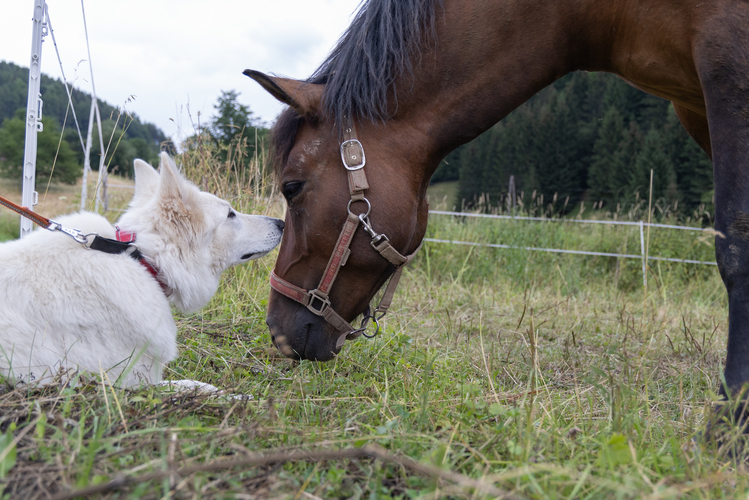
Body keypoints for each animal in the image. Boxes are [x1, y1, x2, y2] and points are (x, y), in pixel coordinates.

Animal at [247, 0, 748, 396]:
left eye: (291, 187)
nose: (275, 331)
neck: (600, 12)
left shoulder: (728, 74)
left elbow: (736, 251)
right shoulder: (695, 104)